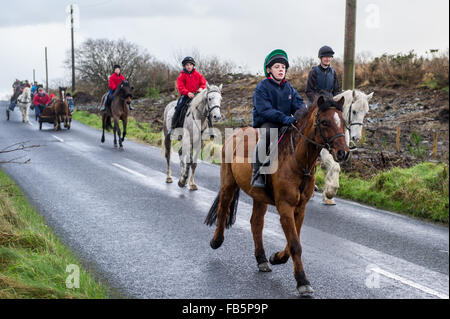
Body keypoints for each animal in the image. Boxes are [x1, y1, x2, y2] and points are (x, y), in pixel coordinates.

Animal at [206, 94, 350, 298]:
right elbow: (295, 245)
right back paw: (216, 241)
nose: (343, 153)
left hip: (259, 198)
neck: (297, 160)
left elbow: (293, 242)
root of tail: (237, 132)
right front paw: (303, 282)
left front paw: (276, 258)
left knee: (256, 223)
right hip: (228, 184)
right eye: (324, 122)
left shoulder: (300, 209)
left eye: (343, 122)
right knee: (223, 209)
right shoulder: (285, 206)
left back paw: (262, 259)